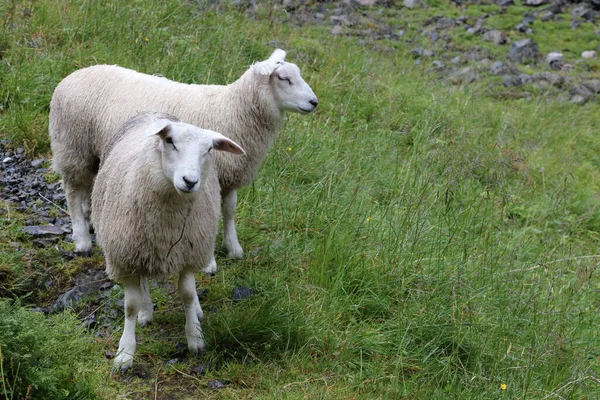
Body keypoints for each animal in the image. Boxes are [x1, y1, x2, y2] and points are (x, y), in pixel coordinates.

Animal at [50, 48, 318, 268]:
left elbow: (229, 210)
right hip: (73, 147)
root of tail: (70, 77)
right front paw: (210, 261)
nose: (314, 102)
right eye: (284, 78)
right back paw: (82, 239)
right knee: (72, 190)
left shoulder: (229, 175)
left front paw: (233, 247)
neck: (233, 108)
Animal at [90, 111, 245, 370]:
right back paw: (146, 312)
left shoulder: (188, 253)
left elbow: (188, 294)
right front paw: (125, 352)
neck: (167, 228)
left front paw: (195, 337)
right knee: (143, 283)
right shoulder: (126, 258)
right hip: (138, 250)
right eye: (170, 140)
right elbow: (130, 306)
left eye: (208, 150)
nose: (190, 181)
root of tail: (153, 112)